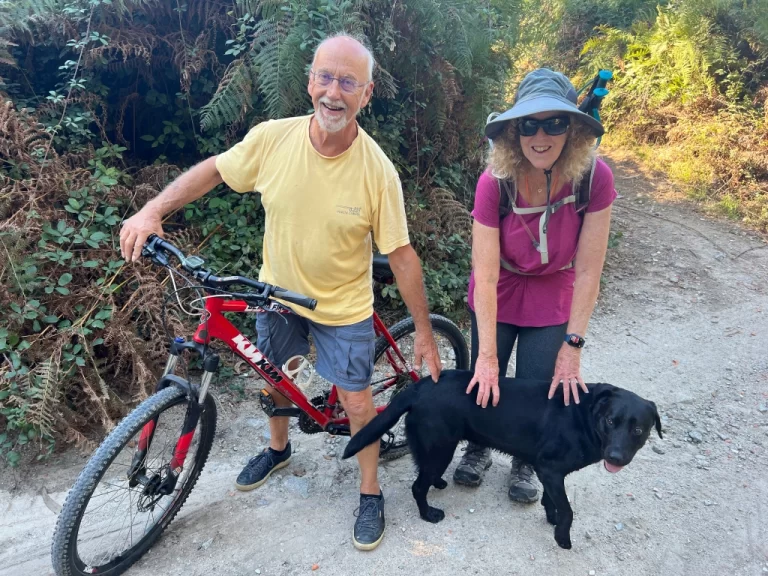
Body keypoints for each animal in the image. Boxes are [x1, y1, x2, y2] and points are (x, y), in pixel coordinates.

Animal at [342, 368, 660, 548]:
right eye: (610, 421)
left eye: (638, 429)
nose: (616, 456)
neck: (585, 416)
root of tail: (420, 386)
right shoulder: (550, 469)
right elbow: (569, 510)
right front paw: (562, 537)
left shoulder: (550, 473)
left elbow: (552, 501)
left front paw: (552, 518)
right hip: (441, 447)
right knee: (417, 486)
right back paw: (428, 514)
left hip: (435, 449)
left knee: (424, 474)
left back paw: (438, 483)